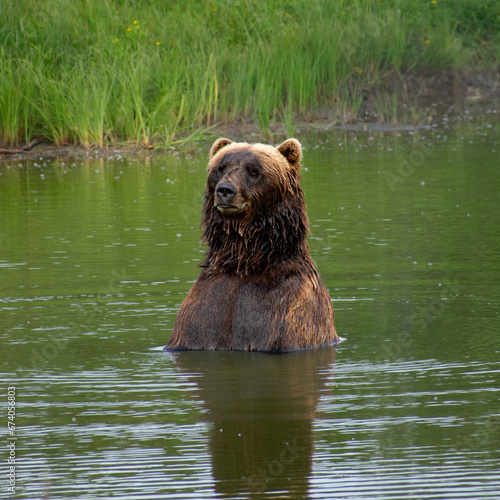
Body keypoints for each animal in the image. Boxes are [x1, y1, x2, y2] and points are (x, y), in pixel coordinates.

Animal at [166, 139, 338, 354]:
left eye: (254, 170)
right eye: (220, 167)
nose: (225, 190)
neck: (245, 261)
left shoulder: (286, 314)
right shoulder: (203, 314)